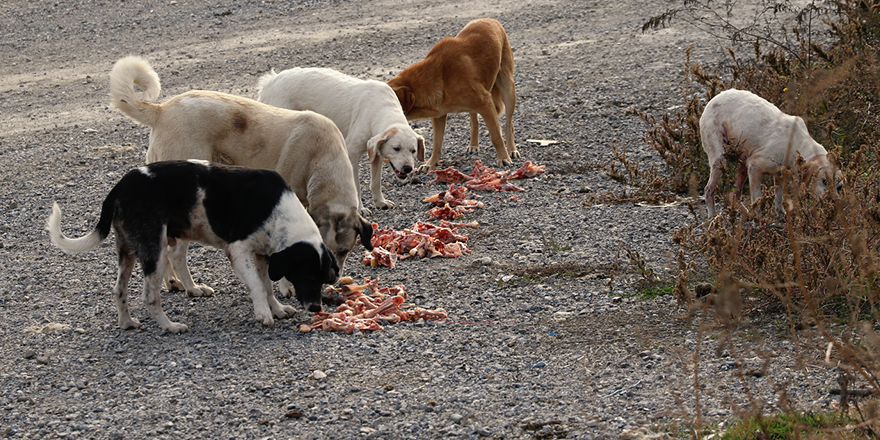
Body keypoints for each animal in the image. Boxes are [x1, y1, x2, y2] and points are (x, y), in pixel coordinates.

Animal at [46, 160, 338, 332]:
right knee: (150, 295)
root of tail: (119, 187)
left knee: (119, 289)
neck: (279, 211)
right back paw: (170, 326)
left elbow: (266, 286)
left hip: (128, 250)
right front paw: (263, 314)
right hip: (154, 249)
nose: (316, 308)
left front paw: (276, 309)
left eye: (325, 278)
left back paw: (127, 322)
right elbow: (257, 285)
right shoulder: (239, 250)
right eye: (307, 277)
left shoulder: (263, 255)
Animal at [256, 66, 424, 216]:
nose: (408, 168)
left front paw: (380, 202)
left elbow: (375, 182)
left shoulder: (375, 154)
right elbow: (356, 186)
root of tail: (270, 81)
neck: (380, 108)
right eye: (396, 148)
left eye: (413, 151)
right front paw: (361, 209)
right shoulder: (352, 153)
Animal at [388, 17, 520, 172]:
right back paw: (474, 144)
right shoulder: (439, 116)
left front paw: (503, 157)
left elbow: (496, 136)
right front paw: (431, 163)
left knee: (508, 125)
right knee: (474, 121)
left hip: (508, 88)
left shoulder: (486, 103)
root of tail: (490, 19)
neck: (439, 77)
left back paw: (511, 150)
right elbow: (437, 143)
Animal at [696, 90, 844, 218]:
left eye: (840, 187)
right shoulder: (755, 167)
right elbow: (757, 198)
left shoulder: (780, 175)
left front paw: (780, 215)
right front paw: (759, 217)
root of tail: (716, 97)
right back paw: (712, 216)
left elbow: (778, 198)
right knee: (709, 190)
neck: (796, 142)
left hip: (742, 166)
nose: (835, 203)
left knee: (734, 194)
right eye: (824, 181)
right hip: (720, 160)